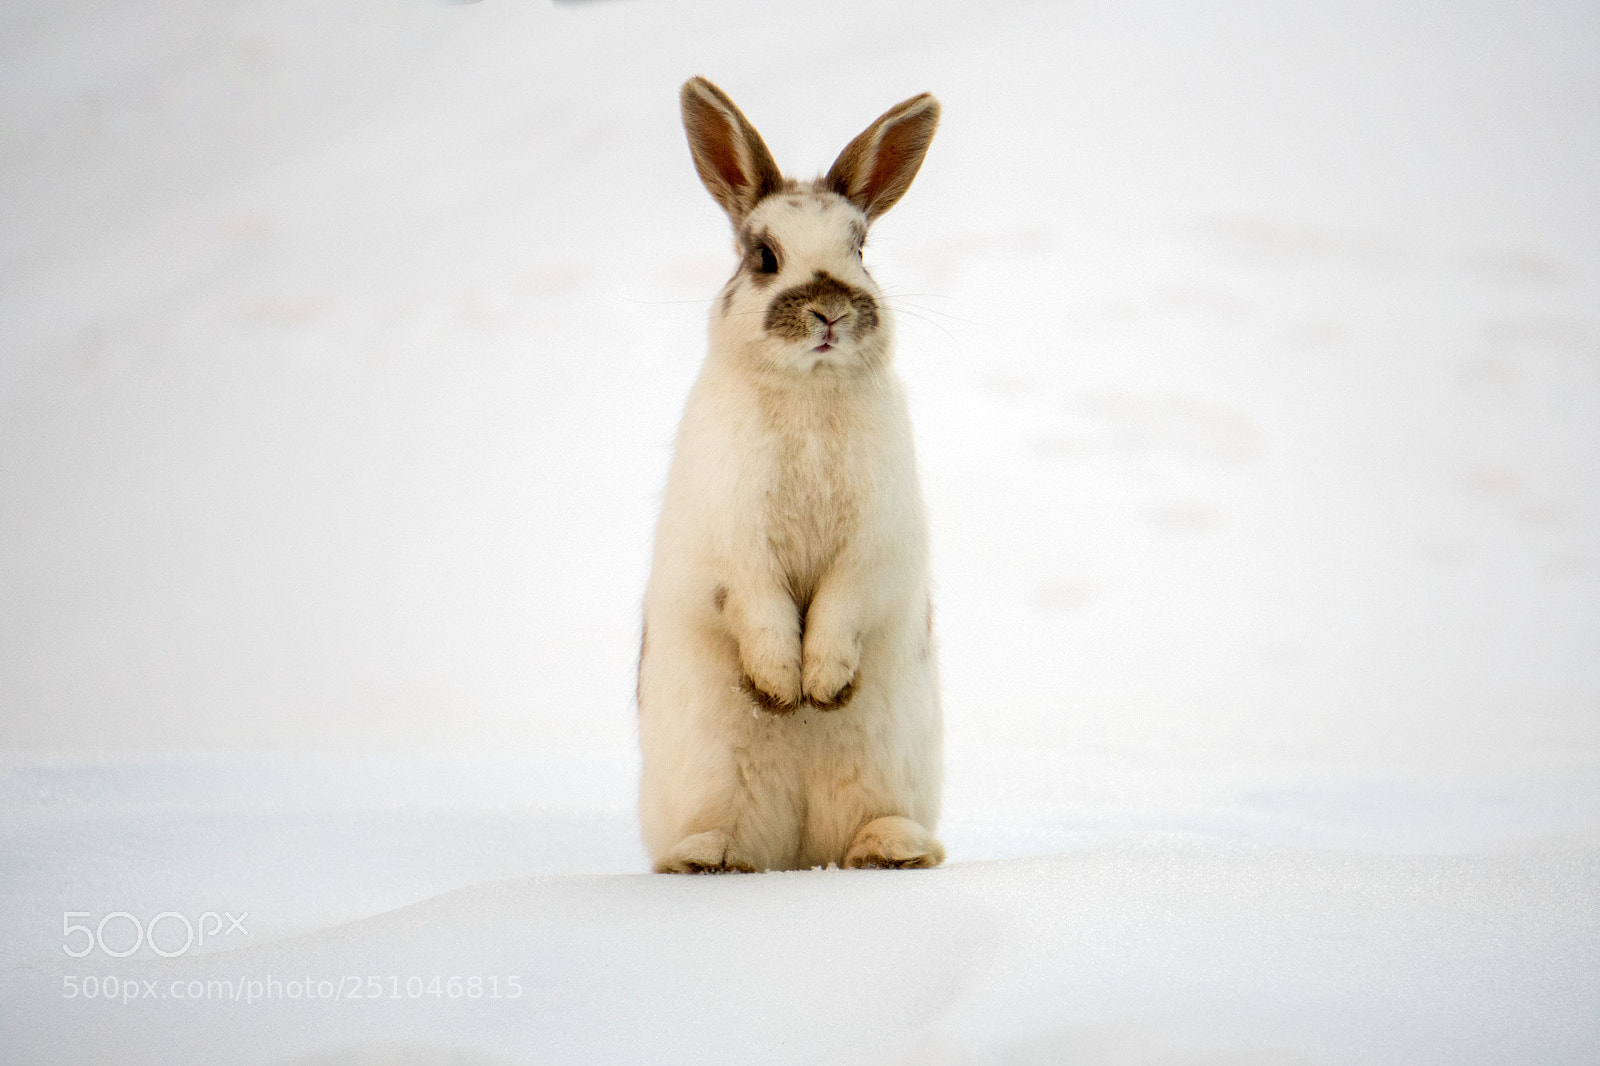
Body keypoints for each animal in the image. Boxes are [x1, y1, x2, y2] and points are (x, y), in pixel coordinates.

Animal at [637, 76, 945, 873]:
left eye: (861, 249)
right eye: (764, 256)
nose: (829, 311)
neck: (809, 394)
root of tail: (803, 853)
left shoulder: (876, 546)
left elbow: (839, 606)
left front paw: (822, 688)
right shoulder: (734, 543)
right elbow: (763, 610)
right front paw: (783, 691)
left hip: (892, 766)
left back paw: (892, 850)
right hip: (706, 776)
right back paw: (708, 859)